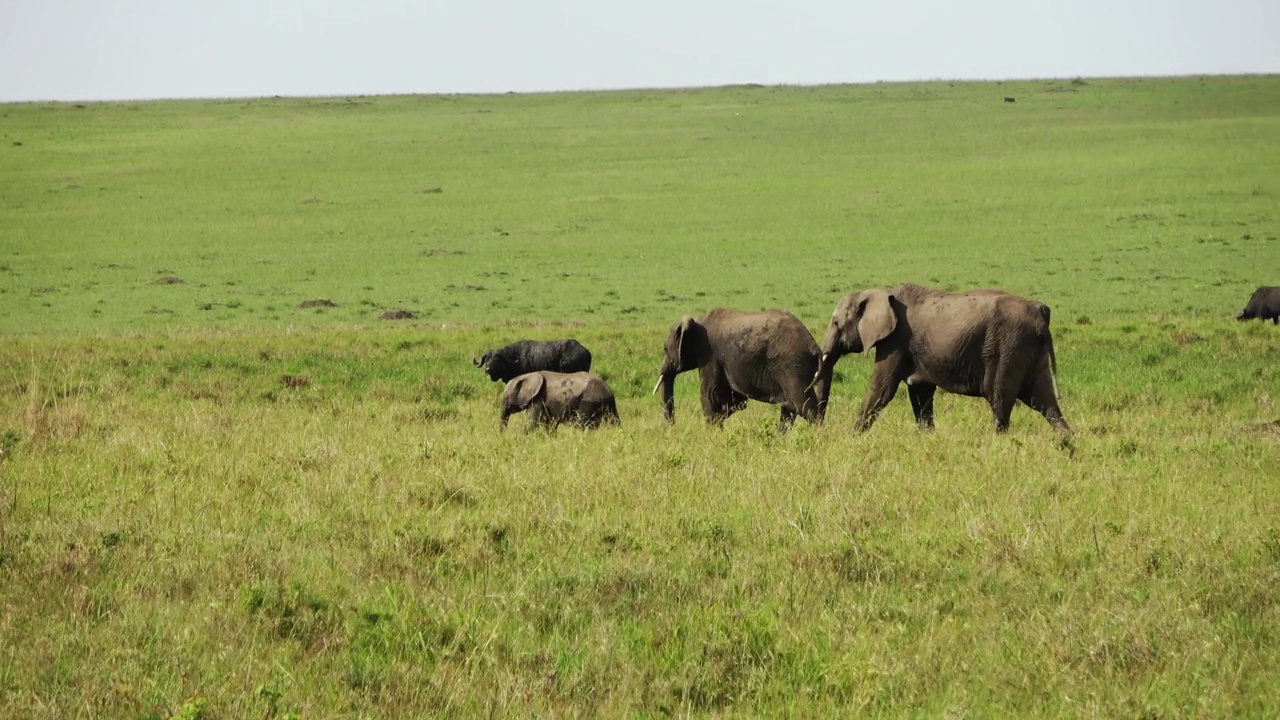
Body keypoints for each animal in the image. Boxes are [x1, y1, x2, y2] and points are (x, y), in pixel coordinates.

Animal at [655, 307, 834, 427]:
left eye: (665, 349)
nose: (672, 425)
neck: (697, 322)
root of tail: (813, 345)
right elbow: (735, 400)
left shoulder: (709, 355)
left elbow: (710, 395)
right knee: (789, 409)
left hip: (792, 366)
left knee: (803, 405)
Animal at [814, 284, 1075, 430]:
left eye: (836, 323)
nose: (821, 429)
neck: (880, 291)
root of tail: (1040, 313)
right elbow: (920, 395)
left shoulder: (896, 341)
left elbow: (882, 391)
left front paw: (853, 437)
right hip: (1029, 350)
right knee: (1046, 404)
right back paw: (1069, 450)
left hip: (1007, 347)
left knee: (1000, 402)